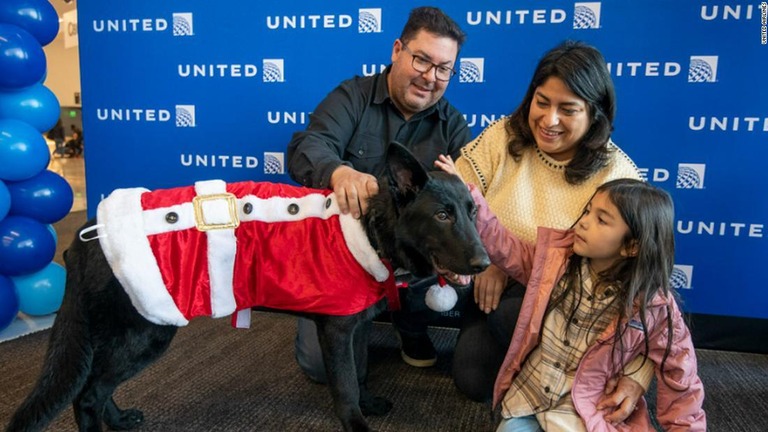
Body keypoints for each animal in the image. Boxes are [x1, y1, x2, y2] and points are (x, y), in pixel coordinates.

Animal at [6, 143, 488, 430]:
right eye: (442, 215)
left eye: (471, 211)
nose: (485, 263)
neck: (371, 228)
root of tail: (87, 234)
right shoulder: (335, 330)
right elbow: (346, 384)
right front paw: (356, 421)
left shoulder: (356, 326)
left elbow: (361, 370)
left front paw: (368, 403)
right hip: (145, 332)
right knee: (88, 393)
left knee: (99, 389)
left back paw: (121, 419)